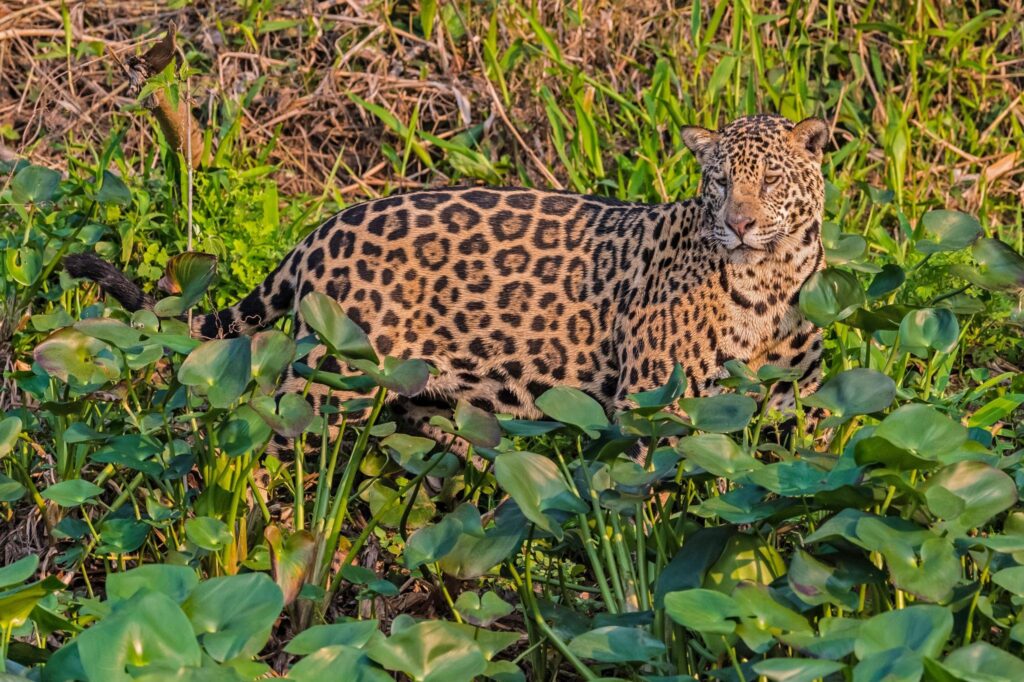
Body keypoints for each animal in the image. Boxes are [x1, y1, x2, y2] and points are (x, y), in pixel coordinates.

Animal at [65, 113, 828, 453]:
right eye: (720, 182)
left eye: (770, 180)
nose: (738, 223)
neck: (769, 285)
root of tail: (323, 228)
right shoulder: (656, 404)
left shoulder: (803, 400)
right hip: (331, 377)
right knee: (260, 431)